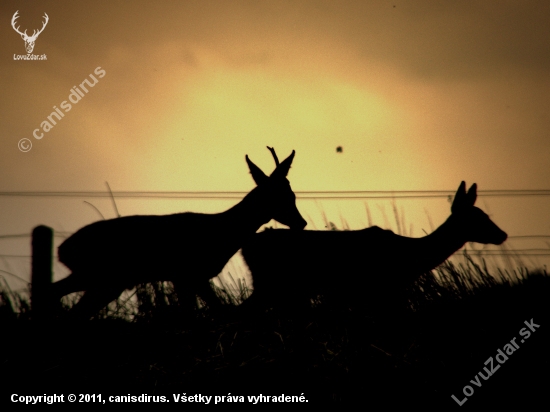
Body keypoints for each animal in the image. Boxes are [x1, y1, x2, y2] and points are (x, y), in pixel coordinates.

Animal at [49, 148, 308, 318]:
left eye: (292, 194)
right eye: (280, 196)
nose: (302, 222)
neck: (221, 231)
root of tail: (63, 249)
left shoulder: (187, 278)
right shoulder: (189, 274)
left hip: (103, 280)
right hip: (100, 275)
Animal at [242, 182, 508, 310]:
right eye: (479, 217)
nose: (503, 234)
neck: (409, 257)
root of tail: (247, 246)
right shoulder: (380, 289)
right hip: (272, 283)